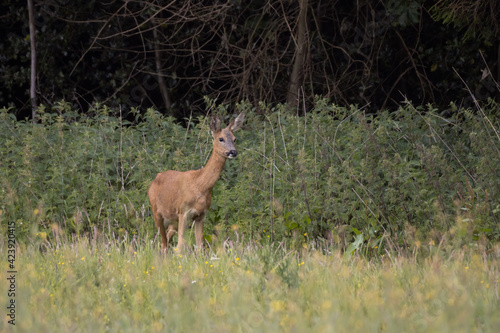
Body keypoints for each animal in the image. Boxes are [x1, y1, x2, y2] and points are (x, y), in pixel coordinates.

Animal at [146, 113, 244, 253]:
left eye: (235, 139)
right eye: (221, 139)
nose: (233, 152)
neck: (200, 186)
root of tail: (155, 179)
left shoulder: (201, 215)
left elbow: (200, 247)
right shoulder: (183, 211)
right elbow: (180, 246)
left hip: (173, 220)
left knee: (167, 239)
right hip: (156, 211)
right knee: (163, 243)